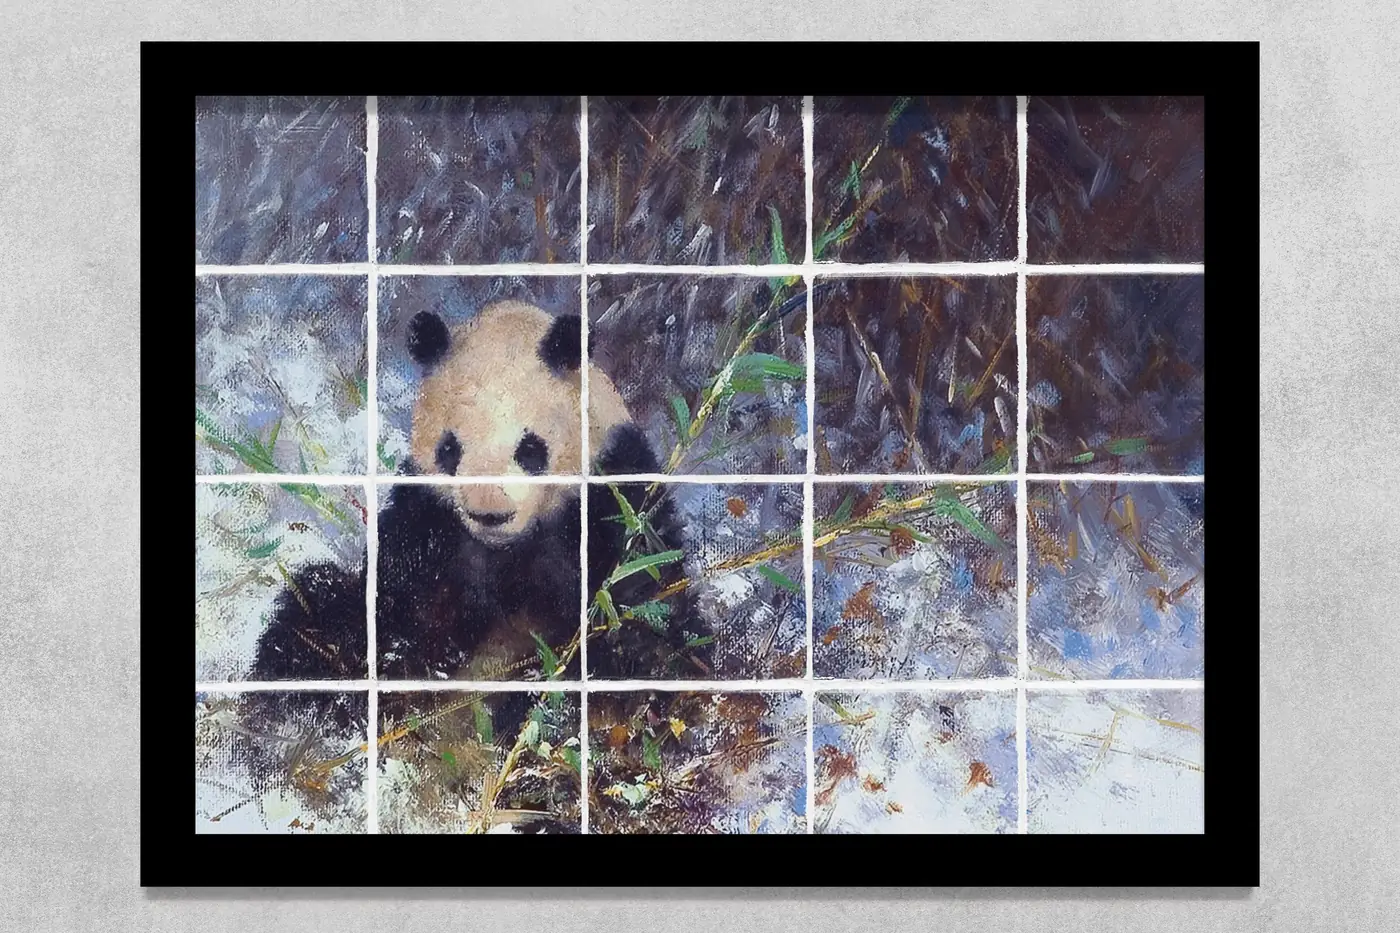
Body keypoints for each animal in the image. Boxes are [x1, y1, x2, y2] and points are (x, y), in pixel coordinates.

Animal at [233, 300, 713, 832]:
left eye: (530, 448)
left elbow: (643, 617)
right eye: (450, 448)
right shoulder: (427, 520)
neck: (509, 548)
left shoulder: (615, 496)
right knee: (314, 614)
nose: (489, 513)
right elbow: (393, 607)